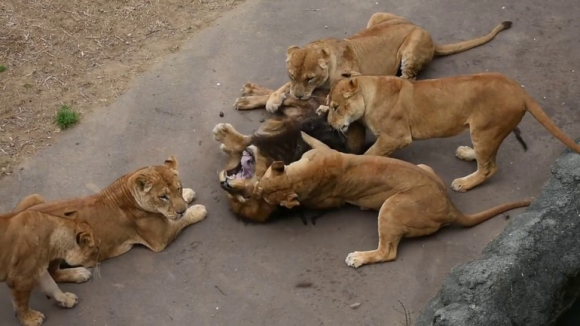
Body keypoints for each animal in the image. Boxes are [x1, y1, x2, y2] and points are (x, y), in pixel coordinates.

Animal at [6, 156, 208, 282]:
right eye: (163, 197)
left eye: (178, 188)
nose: (180, 210)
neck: (129, 191)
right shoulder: (160, 238)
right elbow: (180, 221)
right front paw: (197, 209)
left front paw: (188, 196)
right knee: (53, 273)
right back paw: (79, 274)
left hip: (34, 197)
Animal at [213, 83, 368, 223]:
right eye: (237, 197)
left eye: (244, 197)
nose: (224, 185)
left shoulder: (291, 133)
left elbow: (246, 141)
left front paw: (224, 134)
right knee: (285, 97)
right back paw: (250, 94)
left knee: (288, 98)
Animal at [233, 12, 510, 113]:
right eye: (292, 74)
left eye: (310, 78)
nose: (300, 95)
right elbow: (282, 88)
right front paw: (265, 97)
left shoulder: (350, 76)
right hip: (377, 16)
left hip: (411, 46)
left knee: (407, 78)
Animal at [254, 132, 532, 268]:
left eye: (263, 190)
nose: (255, 192)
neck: (296, 179)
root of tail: (450, 208)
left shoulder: (324, 160)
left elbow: (312, 139)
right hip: (425, 168)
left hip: (392, 206)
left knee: (387, 252)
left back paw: (358, 258)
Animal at [322, 72, 580, 192]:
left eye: (336, 107)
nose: (329, 124)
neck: (369, 93)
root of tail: (519, 90)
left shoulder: (398, 136)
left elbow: (370, 154)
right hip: (485, 132)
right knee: (486, 157)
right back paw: (467, 153)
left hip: (486, 129)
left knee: (490, 167)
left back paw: (465, 183)